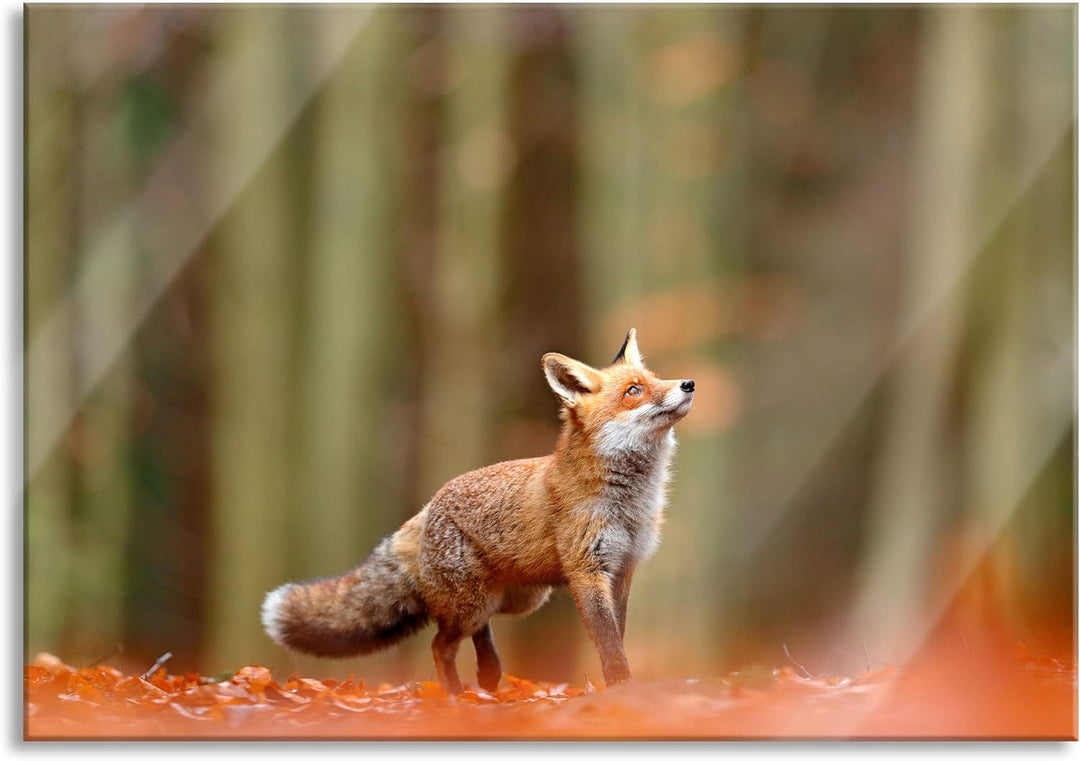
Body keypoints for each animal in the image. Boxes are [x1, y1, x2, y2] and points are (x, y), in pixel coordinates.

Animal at [261, 328, 695, 694]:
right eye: (634, 391)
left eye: (655, 379)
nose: (687, 384)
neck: (629, 503)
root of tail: (426, 508)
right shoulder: (587, 570)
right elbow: (608, 644)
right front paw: (621, 689)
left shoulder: (623, 568)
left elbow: (617, 636)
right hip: (474, 603)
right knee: (440, 645)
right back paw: (456, 698)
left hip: (517, 599)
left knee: (477, 632)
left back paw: (488, 675)